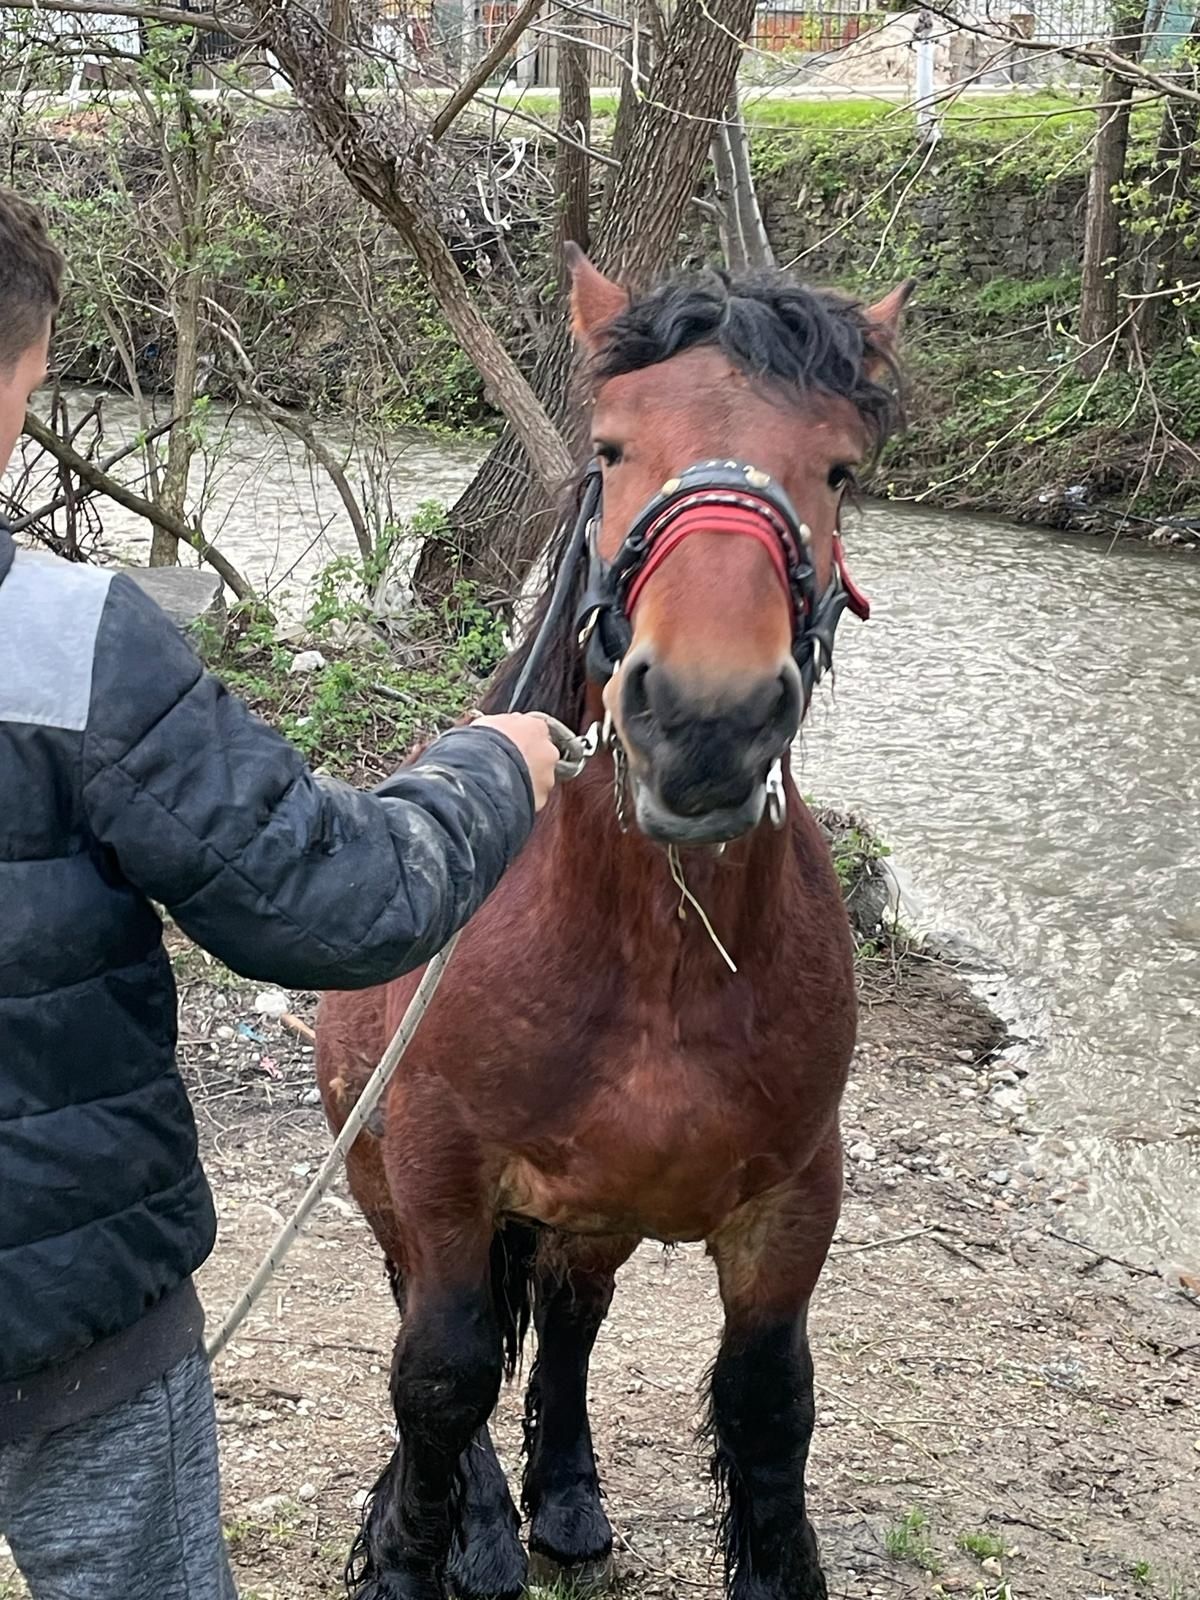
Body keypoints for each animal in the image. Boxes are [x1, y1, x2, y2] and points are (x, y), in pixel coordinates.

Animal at [316, 249, 908, 1600]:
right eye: (614, 444)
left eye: (841, 467)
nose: (704, 720)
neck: (655, 961)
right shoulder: (439, 1170)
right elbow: (440, 1377)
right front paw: (409, 1551)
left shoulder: (794, 1197)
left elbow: (768, 1401)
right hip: (393, 1192)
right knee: (453, 1333)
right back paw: (487, 1524)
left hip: (596, 1215)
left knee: (573, 1322)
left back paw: (567, 1494)